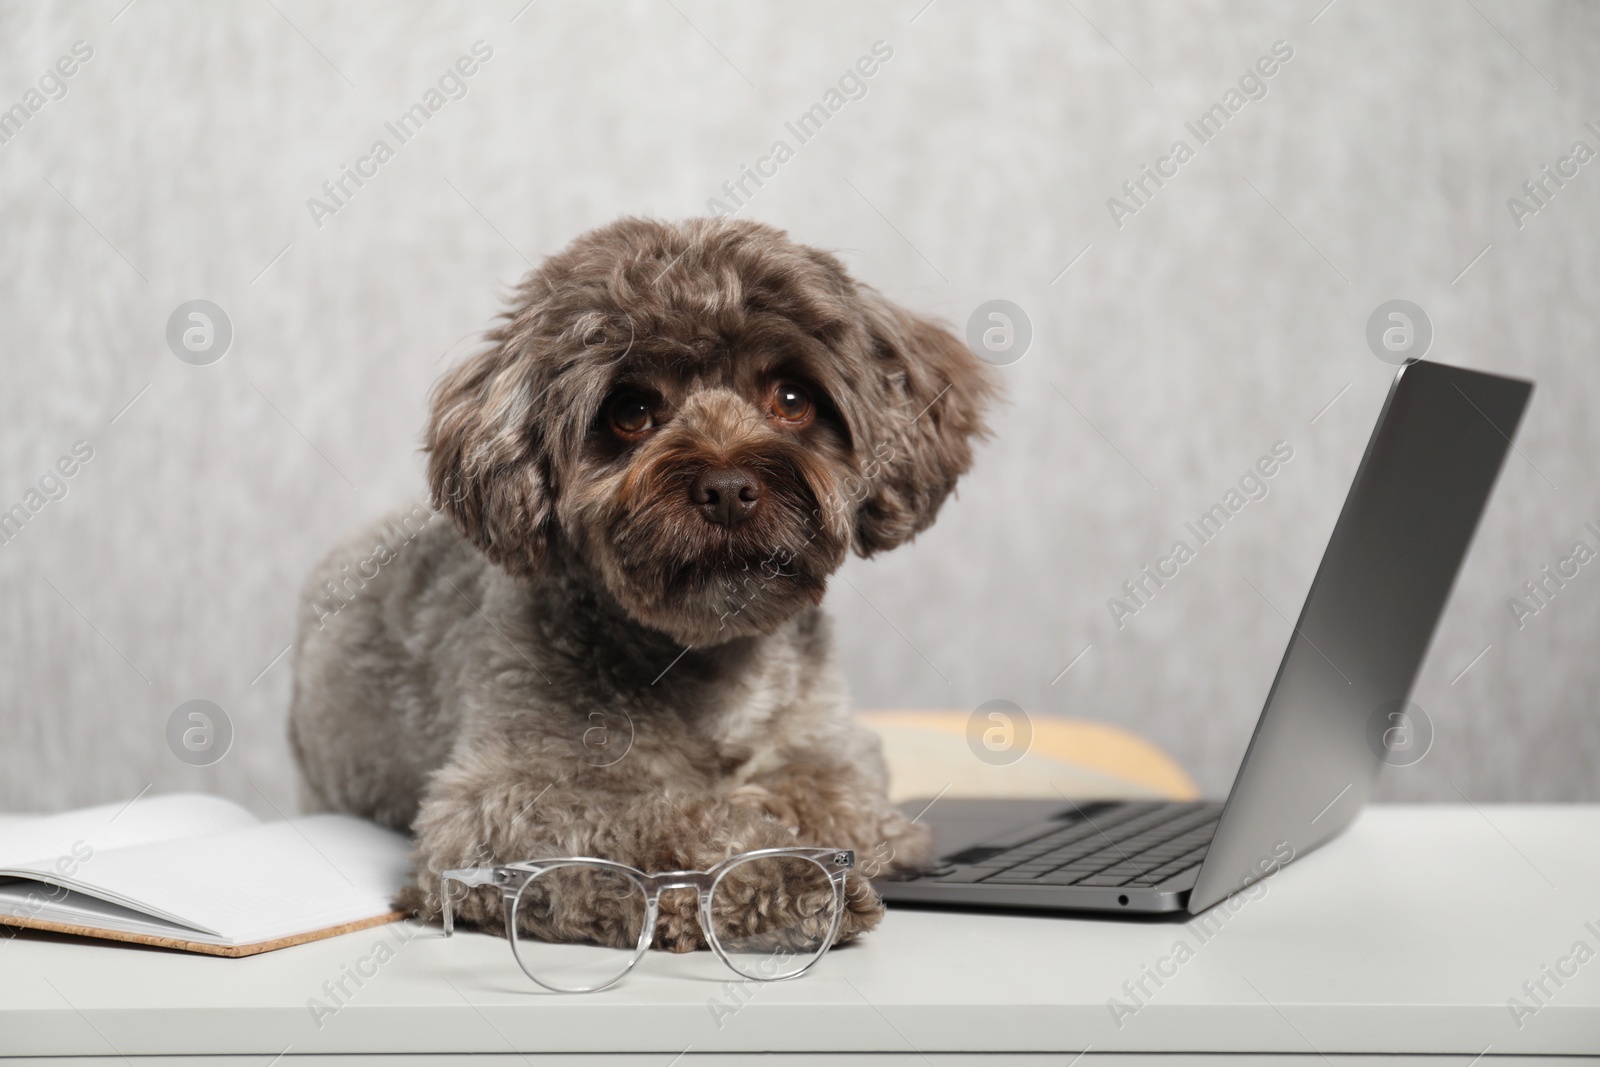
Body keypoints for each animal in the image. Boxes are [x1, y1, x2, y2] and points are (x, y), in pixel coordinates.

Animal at [288, 217, 985, 953]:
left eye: (792, 398)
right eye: (630, 410)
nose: (729, 488)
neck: (708, 666)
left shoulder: (836, 752)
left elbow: (833, 798)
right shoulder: (496, 802)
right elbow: (662, 823)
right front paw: (787, 875)